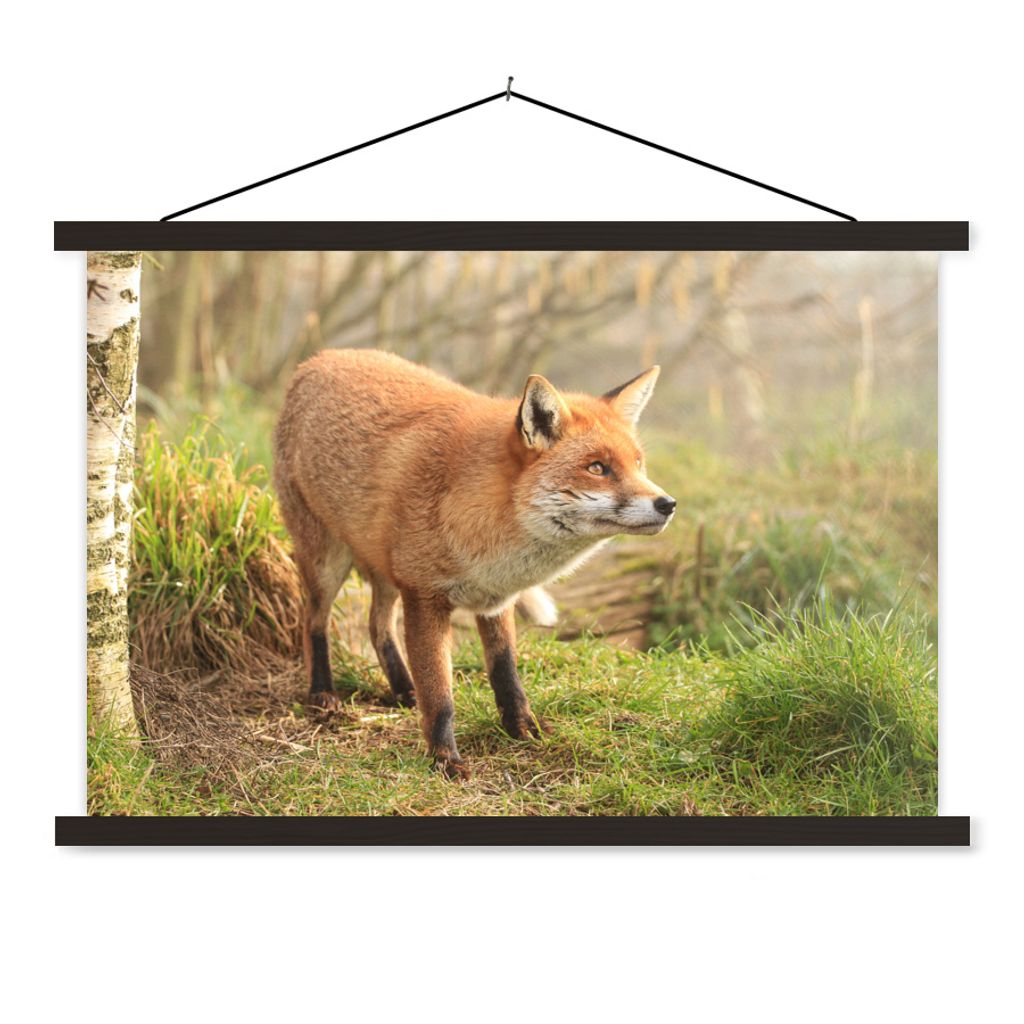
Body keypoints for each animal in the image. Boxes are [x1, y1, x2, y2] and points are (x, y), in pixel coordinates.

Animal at [272, 349, 676, 778]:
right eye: (597, 467)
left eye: (638, 464)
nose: (667, 504)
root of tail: (318, 358)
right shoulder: (424, 597)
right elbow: (441, 694)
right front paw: (444, 758)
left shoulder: (495, 599)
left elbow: (506, 673)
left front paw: (524, 729)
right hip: (326, 562)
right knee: (314, 623)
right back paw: (322, 693)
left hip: (386, 571)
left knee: (377, 625)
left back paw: (403, 689)